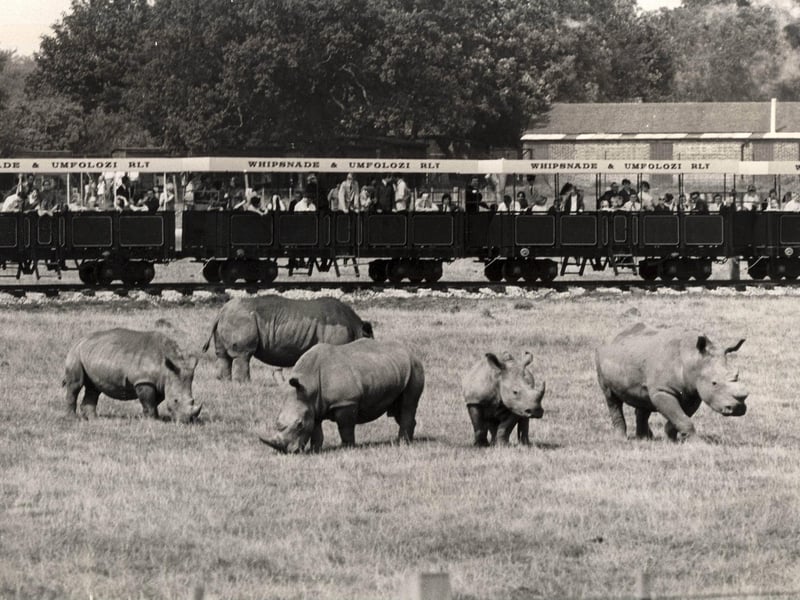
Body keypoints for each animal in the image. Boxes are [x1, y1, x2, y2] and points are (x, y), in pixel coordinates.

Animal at [64, 328, 202, 422]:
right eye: (176, 400)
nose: (186, 421)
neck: (167, 369)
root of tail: (79, 340)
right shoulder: (144, 380)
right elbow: (149, 402)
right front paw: (153, 421)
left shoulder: (160, 383)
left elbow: (154, 402)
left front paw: (148, 418)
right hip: (76, 353)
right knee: (75, 385)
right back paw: (72, 419)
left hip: (92, 354)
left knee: (94, 388)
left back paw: (95, 420)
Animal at [203, 296, 373, 382]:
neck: (356, 328)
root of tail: (221, 311)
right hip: (242, 319)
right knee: (243, 355)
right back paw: (245, 384)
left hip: (230, 318)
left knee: (223, 356)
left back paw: (225, 382)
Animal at [259, 339, 424, 453]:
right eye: (276, 421)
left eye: (299, 424)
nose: (288, 452)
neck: (309, 385)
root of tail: (411, 352)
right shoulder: (313, 405)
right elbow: (315, 429)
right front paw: (315, 450)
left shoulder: (346, 402)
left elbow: (345, 428)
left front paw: (347, 448)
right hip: (393, 368)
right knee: (398, 410)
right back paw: (408, 441)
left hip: (414, 367)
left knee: (408, 404)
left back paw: (402, 443)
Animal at [595, 322, 747, 441]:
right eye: (714, 383)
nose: (738, 408)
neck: (692, 358)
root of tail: (609, 337)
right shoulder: (663, 390)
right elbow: (682, 418)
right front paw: (697, 444)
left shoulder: (693, 392)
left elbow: (680, 417)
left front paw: (671, 439)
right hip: (600, 357)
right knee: (611, 398)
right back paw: (621, 439)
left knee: (644, 399)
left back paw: (644, 439)